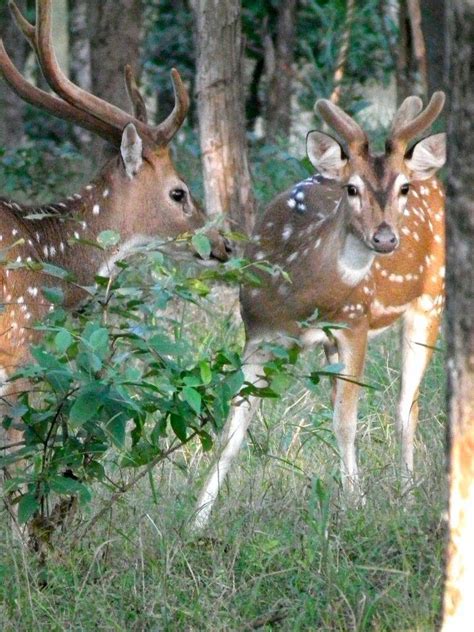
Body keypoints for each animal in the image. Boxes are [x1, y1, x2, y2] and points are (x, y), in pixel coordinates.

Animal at [192, 91, 444, 532]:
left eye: (404, 187)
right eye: (351, 188)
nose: (385, 238)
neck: (300, 301)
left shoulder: (355, 321)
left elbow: (345, 423)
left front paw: (358, 507)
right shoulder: (257, 333)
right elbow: (232, 429)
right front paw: (197, 520)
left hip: (432, 298)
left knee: (407, 406)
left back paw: (408, 495)